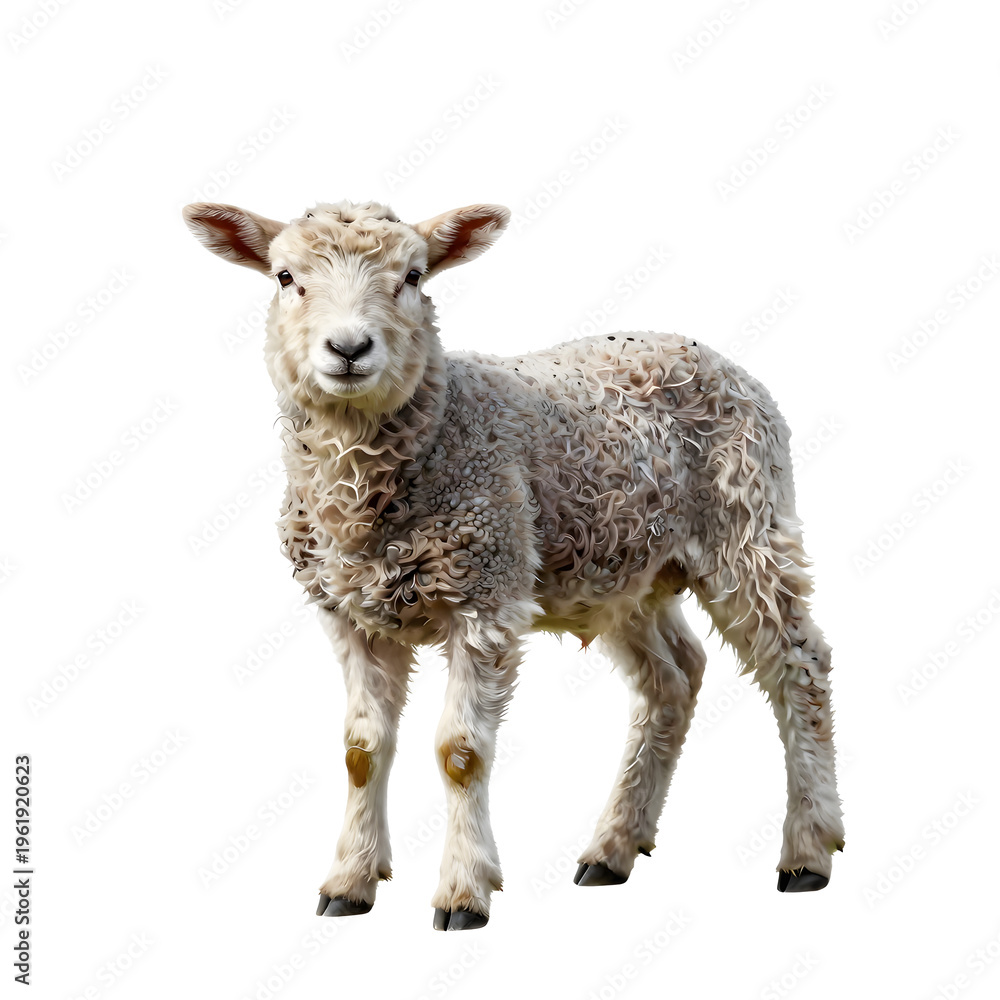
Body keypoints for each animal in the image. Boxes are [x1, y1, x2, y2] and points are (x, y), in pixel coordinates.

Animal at [182, 198, 845, 930]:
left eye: (413, 276)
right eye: (284, 277)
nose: (349, 349)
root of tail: (713, 355)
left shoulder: (487, 593)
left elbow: (459, 752)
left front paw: (463, 892)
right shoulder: (350, 612)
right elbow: (360, 751)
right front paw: (349, 882)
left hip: (746, 525)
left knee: (800, 664)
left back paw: (809, 851)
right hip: (624, 571)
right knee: (674, 677)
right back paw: (614, 847)